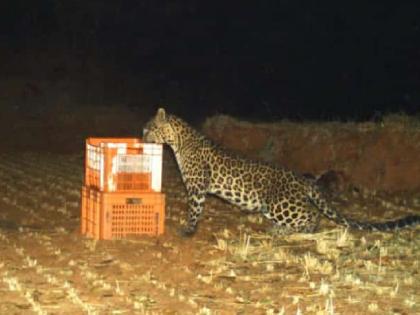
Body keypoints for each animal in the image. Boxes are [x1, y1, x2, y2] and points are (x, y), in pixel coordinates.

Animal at [143, 108, 418, 237]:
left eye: (149, 128)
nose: (141, 136)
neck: (178, 142)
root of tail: (302, 180)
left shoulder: (198, 187)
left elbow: (194, 210)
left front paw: (188, 230)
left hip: (279, 204)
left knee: (313, 216)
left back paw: (285, 230)